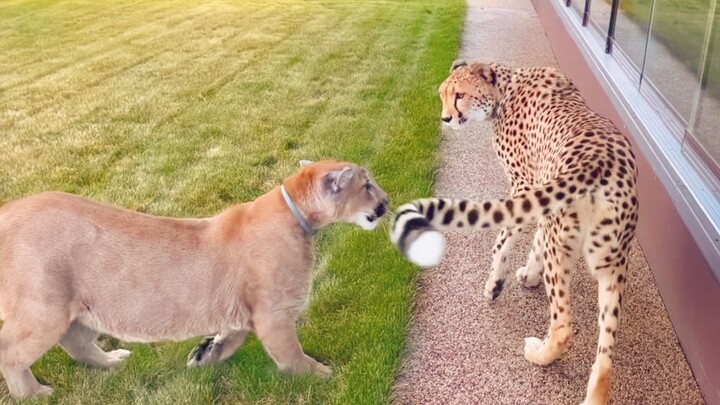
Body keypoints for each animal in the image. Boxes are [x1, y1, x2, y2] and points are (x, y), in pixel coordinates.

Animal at [390, 59, 638, 405]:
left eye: (460, 95)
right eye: (443, 95)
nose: (445, 118)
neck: (505, 88)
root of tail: (600, 163)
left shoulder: (525, 186)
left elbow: (503, 242)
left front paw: (495, 284)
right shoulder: (542, 199)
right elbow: (535, 241)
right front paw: (529, 275)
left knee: (563, 325)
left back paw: (538, 353)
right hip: (612, 260)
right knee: (605, 353)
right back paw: (595, 393)